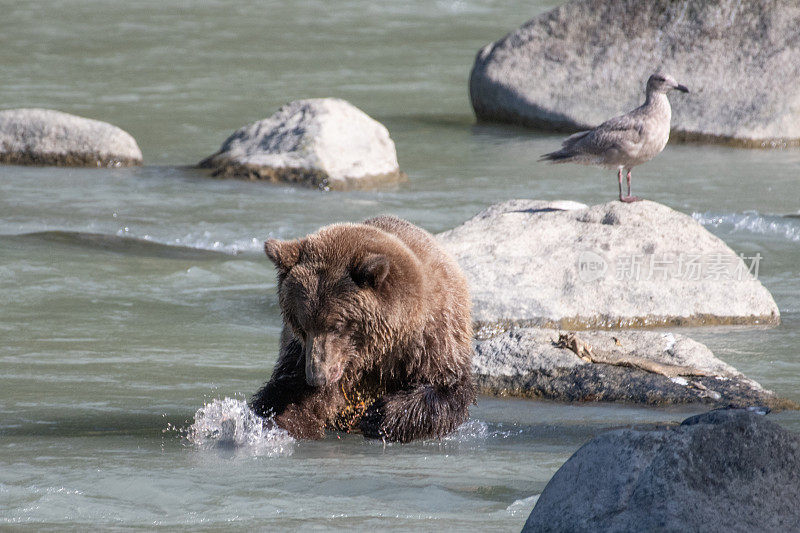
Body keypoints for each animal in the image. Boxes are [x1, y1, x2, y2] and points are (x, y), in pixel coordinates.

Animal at [252, 214, 476, 442]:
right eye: (302, 325)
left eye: (336, 326)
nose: (317, 377)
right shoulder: (303, 353)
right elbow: (289, 392)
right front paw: (283, 421)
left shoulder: (430, 337)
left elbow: (446, 386)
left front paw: (379, 416)